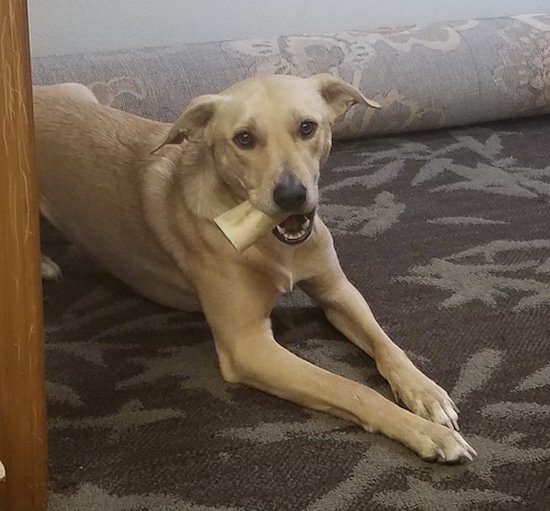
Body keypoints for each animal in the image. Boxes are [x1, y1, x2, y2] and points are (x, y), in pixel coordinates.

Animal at [34, 76, 476, 464]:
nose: (292, 195)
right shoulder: (247, 346)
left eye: (307, 127)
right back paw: (42, 263)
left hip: (82, 92)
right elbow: (350, 388)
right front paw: (426, 433)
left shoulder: (338, 292)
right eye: (244, 138)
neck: (275, 245)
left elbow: (386, 344)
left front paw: (426, 393)